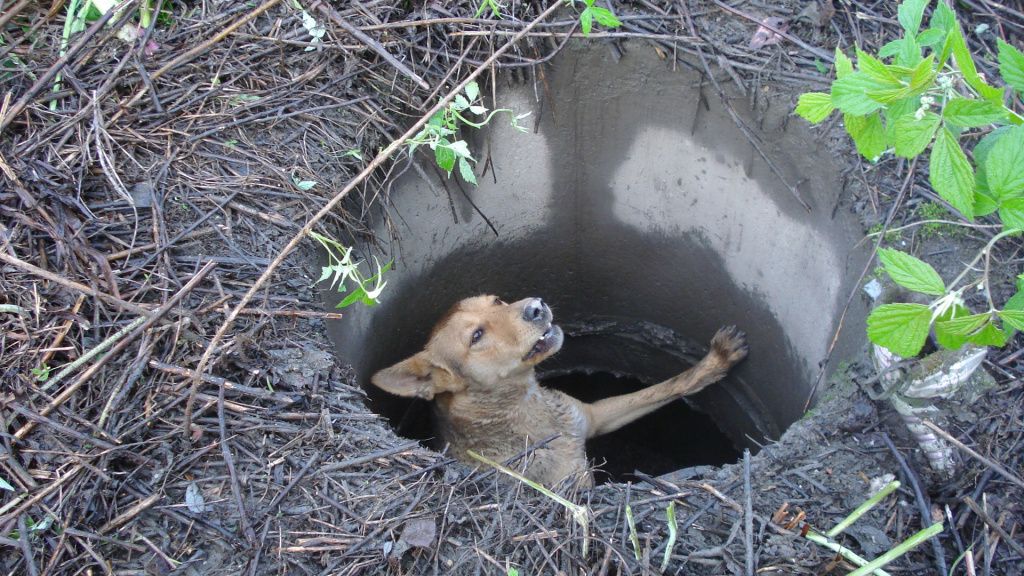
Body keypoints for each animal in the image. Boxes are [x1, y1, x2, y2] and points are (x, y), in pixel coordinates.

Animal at [372, 293, 749, 485]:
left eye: (497, 301)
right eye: (476, 336)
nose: (536, 306)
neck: (524, 408)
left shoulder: (594, 416)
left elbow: (667, 387)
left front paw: (715, 362)